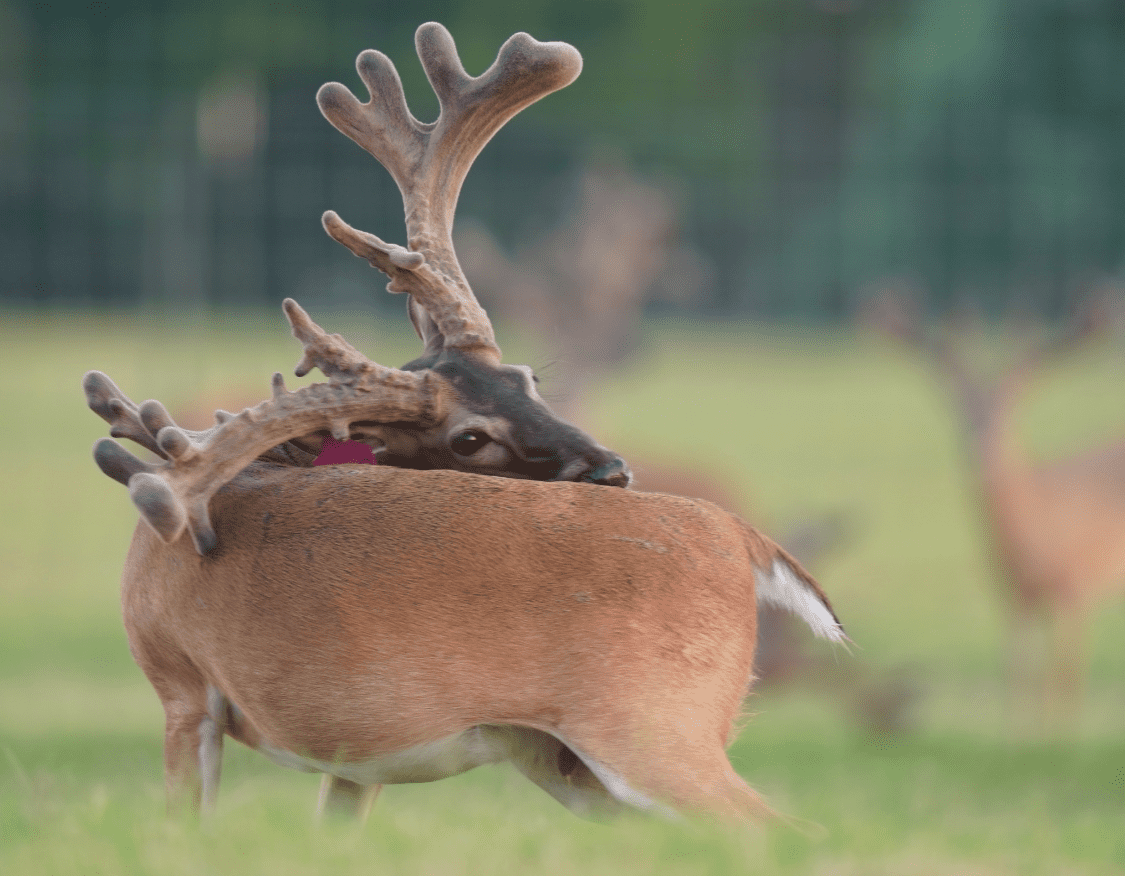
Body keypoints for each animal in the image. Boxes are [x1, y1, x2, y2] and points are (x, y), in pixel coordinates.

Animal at [84, 23, 847, 825]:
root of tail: (743, 537)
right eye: (471, 436)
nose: (614, 471)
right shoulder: (355, 754)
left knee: (776, 826)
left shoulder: (181, 685)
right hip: (570, 758)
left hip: (650, 725)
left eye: (526, 378)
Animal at [870, 288, 1125, 723]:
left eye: (1010, 408)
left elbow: (1064, 682)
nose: (980, 443)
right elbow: (1017, 679)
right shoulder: (1009, 598)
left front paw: (1060, 731)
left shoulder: (1075, 589)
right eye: (958, 407)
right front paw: (1020, 728)